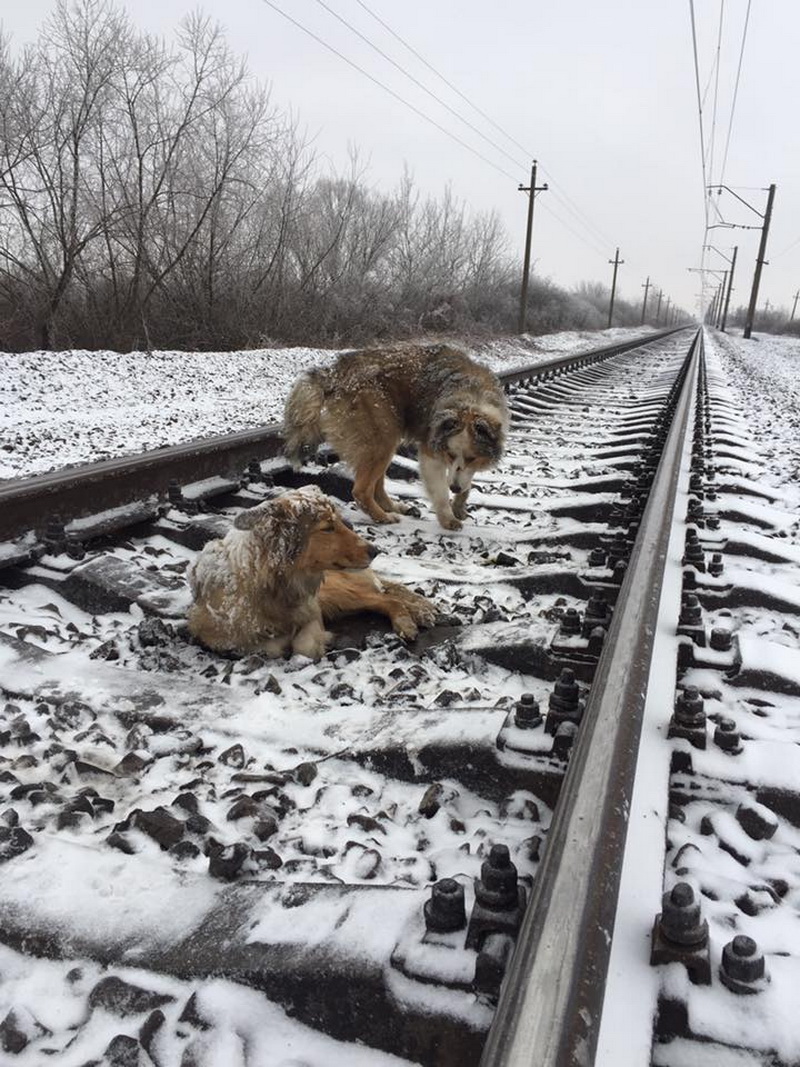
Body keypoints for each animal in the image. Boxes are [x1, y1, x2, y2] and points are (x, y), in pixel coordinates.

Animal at [187, 486, 439, 657]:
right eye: (327, 528)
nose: (375, 550)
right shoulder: (214, 635)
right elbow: (268, 647)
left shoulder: (313, 609)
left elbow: (303, 646)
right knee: (385, 596)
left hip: (337, 592)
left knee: (387, 598)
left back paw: (408, 621)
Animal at [281, 345, 507, 529]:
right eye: (449, 455)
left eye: (472, 458)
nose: (455, 487)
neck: (471, 399)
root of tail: (334, 372)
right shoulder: (431, 450)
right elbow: (440, 491)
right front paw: (448, 518)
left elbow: (466, 481)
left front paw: (459, 505)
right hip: (382, 436)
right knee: (361, 491)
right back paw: (383, 517)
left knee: (377, 486)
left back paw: (396, 508)